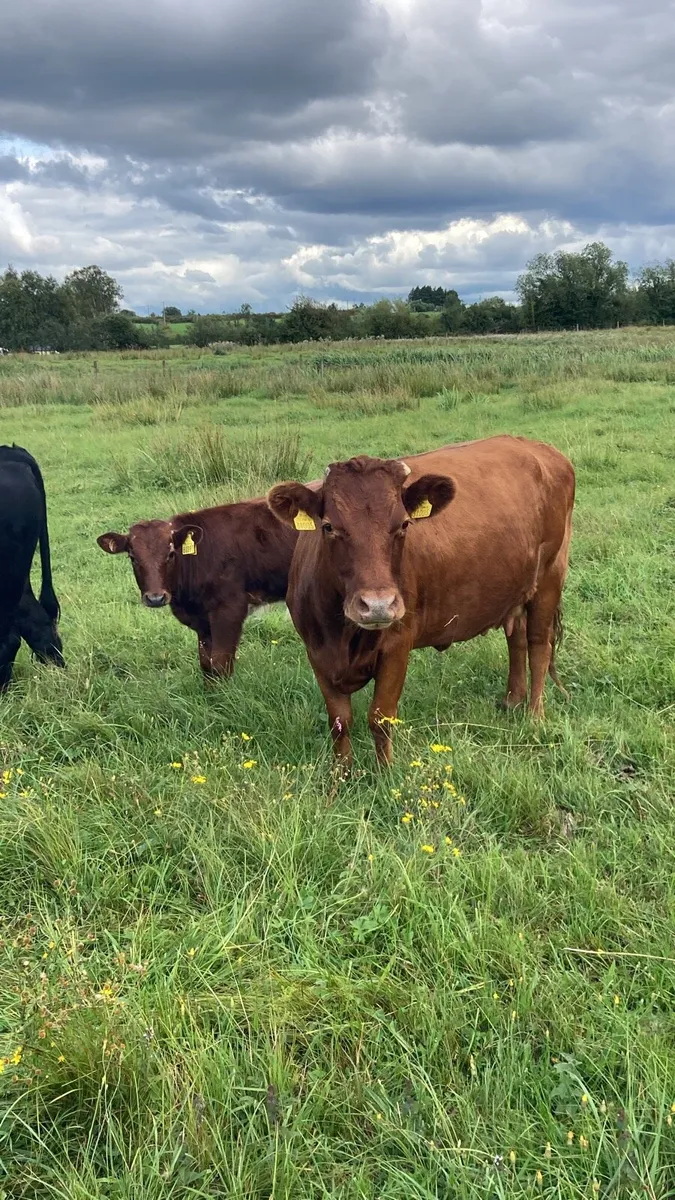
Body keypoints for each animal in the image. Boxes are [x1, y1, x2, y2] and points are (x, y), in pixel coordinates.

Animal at [97, 494, 313, 678]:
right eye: (133, 558)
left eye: (171, 554)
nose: (155, 598)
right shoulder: (201, 620)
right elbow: (205, 664)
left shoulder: (230, 609)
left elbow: (220, 664)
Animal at [267, 436, 575, 765]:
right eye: (328, 527)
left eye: (403, 525)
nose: (377, 605)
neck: (344, 635)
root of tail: (541, 449)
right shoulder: (317, 653)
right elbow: (339, 723)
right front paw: (343, 772)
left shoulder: (398, 644)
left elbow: (380, 718)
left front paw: (385, 773)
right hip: (516, 589)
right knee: (516, 638)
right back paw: (511, 702)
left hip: (549, 578)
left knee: (538, 645)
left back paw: (534, 716)